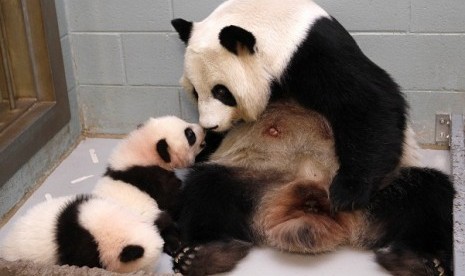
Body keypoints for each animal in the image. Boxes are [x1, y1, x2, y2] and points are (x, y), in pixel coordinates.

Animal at [170, 101, 454, 276]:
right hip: (250, 182)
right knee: (205, 191)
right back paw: (204, 256)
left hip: (381, 195)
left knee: (429, 196)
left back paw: (419, 262)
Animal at [172, 0, 408, 211]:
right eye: (195, 92)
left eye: (221, 92)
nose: (209, 126)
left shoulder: (314, 53)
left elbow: (370, 101)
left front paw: (348, 193)